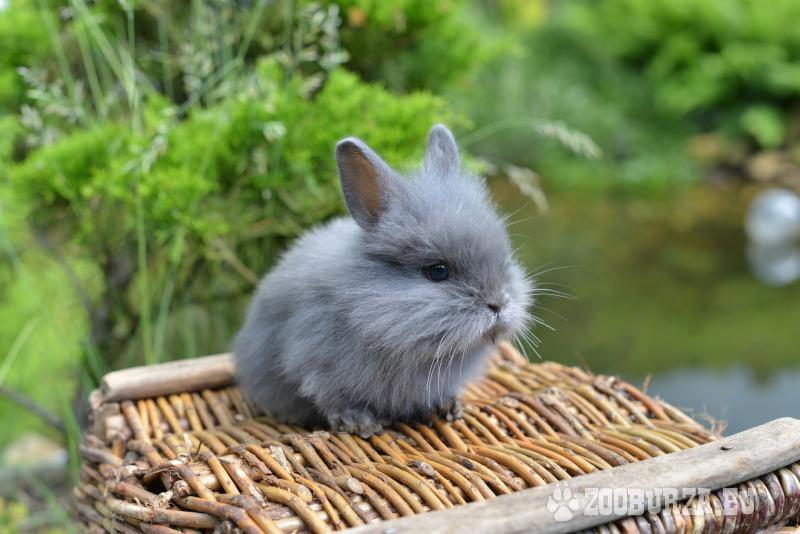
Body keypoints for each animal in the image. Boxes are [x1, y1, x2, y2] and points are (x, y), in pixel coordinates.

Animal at [233, 124, 532, 436]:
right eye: (438, 271)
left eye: (506, 258)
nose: (498, 304)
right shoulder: (315, 367)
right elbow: (331, 399)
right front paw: (360, 423)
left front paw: (449, 408)